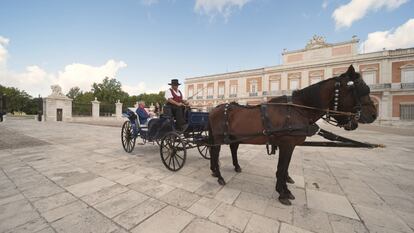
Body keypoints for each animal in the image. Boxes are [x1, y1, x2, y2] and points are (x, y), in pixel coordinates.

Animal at [209, 64, 376, 205]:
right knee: (215, 152)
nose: (374, 115)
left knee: (228, 149)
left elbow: (284, 168)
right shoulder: (287, 145)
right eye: (361, 90)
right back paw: (219, 176)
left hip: (232, 136)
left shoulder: (289, 146)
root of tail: (214, 109)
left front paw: (285, 190)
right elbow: (282, 169)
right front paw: (282, 193)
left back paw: (225, 169)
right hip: (219, 137)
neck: (299, 109)